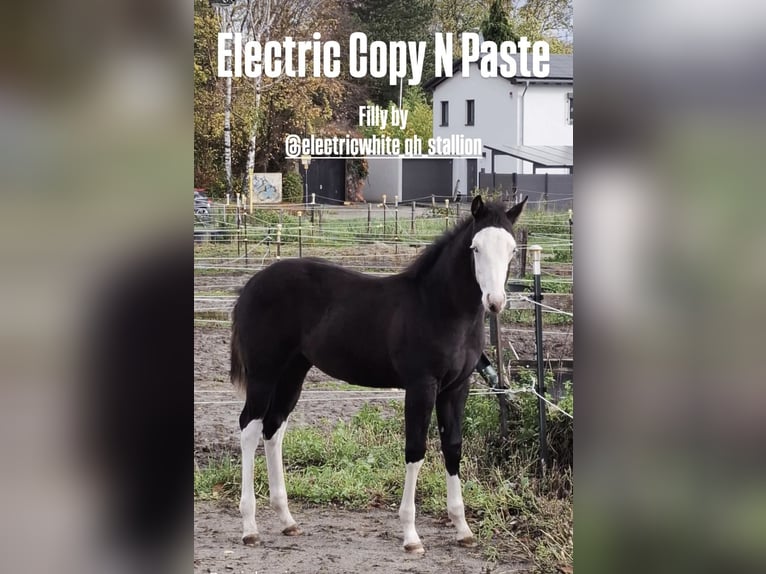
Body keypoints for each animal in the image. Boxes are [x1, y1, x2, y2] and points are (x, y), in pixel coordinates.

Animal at [230, 194, 527, 553]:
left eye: (512, 249)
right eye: (475, 248)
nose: (495, 302)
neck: (439, 308)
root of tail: (250, 285)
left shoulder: (457, 388)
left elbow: (453, 447)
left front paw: (462, 528)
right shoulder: (421, 386)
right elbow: (416, 449)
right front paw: (411, 536)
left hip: (292, 373)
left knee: (273, 429)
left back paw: (287, 521)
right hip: (263, 374)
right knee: (249, 428)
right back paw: (249, 527)